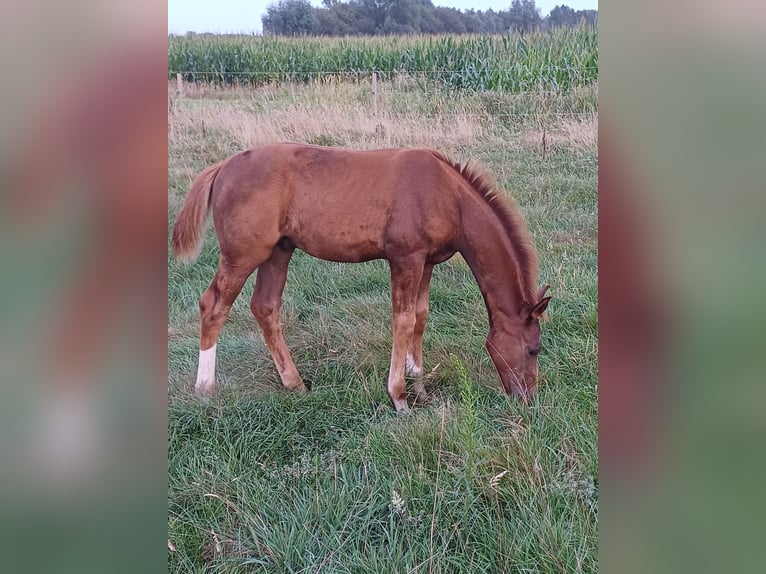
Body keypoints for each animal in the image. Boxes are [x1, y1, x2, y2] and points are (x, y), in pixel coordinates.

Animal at [171, 144, 548, 414]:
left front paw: (421, 389)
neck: (447, 194)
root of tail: (222, 167)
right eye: (533, 349)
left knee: (265, 307)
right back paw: (205, 388)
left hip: (279, 250)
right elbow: (403, 320)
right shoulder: (405, 258)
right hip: (244, 254)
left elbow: (420, 318)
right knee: (213, 306)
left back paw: (296, 384)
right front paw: (399, 398)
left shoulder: (426, 262)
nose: (527, 399)